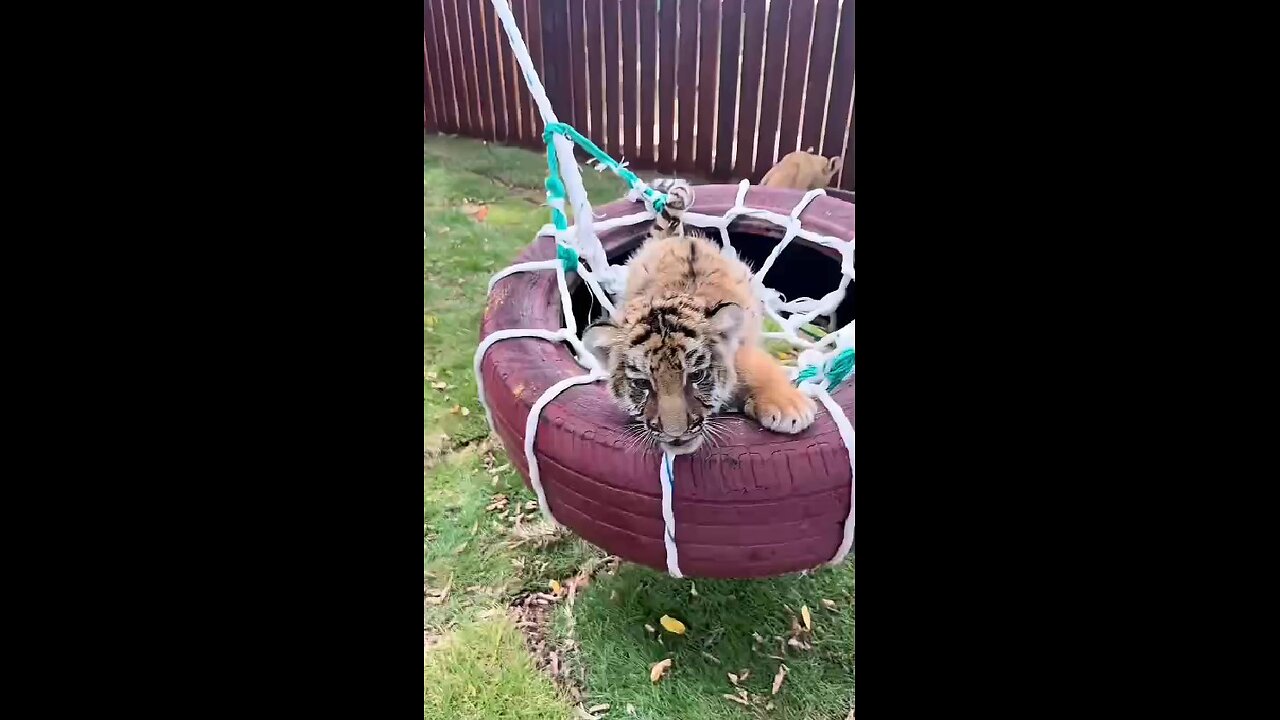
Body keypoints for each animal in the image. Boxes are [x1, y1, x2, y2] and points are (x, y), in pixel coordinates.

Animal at [582, 182, 817, 456]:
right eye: (642, 384)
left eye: (696, 376)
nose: (675, 434)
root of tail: (675, 239)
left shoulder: (740, 350)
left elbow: (759, 367)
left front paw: (789, 407)